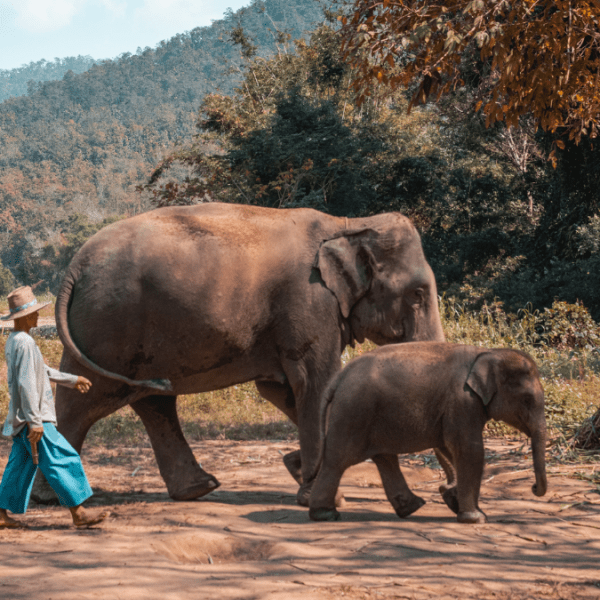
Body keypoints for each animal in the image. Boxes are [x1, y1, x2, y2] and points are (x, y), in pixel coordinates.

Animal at [48, 204, 446, 504]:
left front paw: (300, 470)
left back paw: (198, 489)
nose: (446, 492)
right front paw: (320, 493)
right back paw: (54, 498)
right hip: (109, 327)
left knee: (151, 400)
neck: (347, 224)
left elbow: (282, 390)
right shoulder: (309, 303)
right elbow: (315, 383)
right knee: (85, 400)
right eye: (417, 295)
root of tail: (74, 267)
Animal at [310, 344, 548, 524]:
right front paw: (476, 518)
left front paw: (455, 501)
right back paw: (325, 514)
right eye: (527, 400)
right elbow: (470, 450)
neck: (487, 352)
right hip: (353, 413)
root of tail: (338, 377)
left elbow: (450, 448)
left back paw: (411, 508)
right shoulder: (462, 401)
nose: (534, 487)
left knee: (384, 458)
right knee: (337, 461)